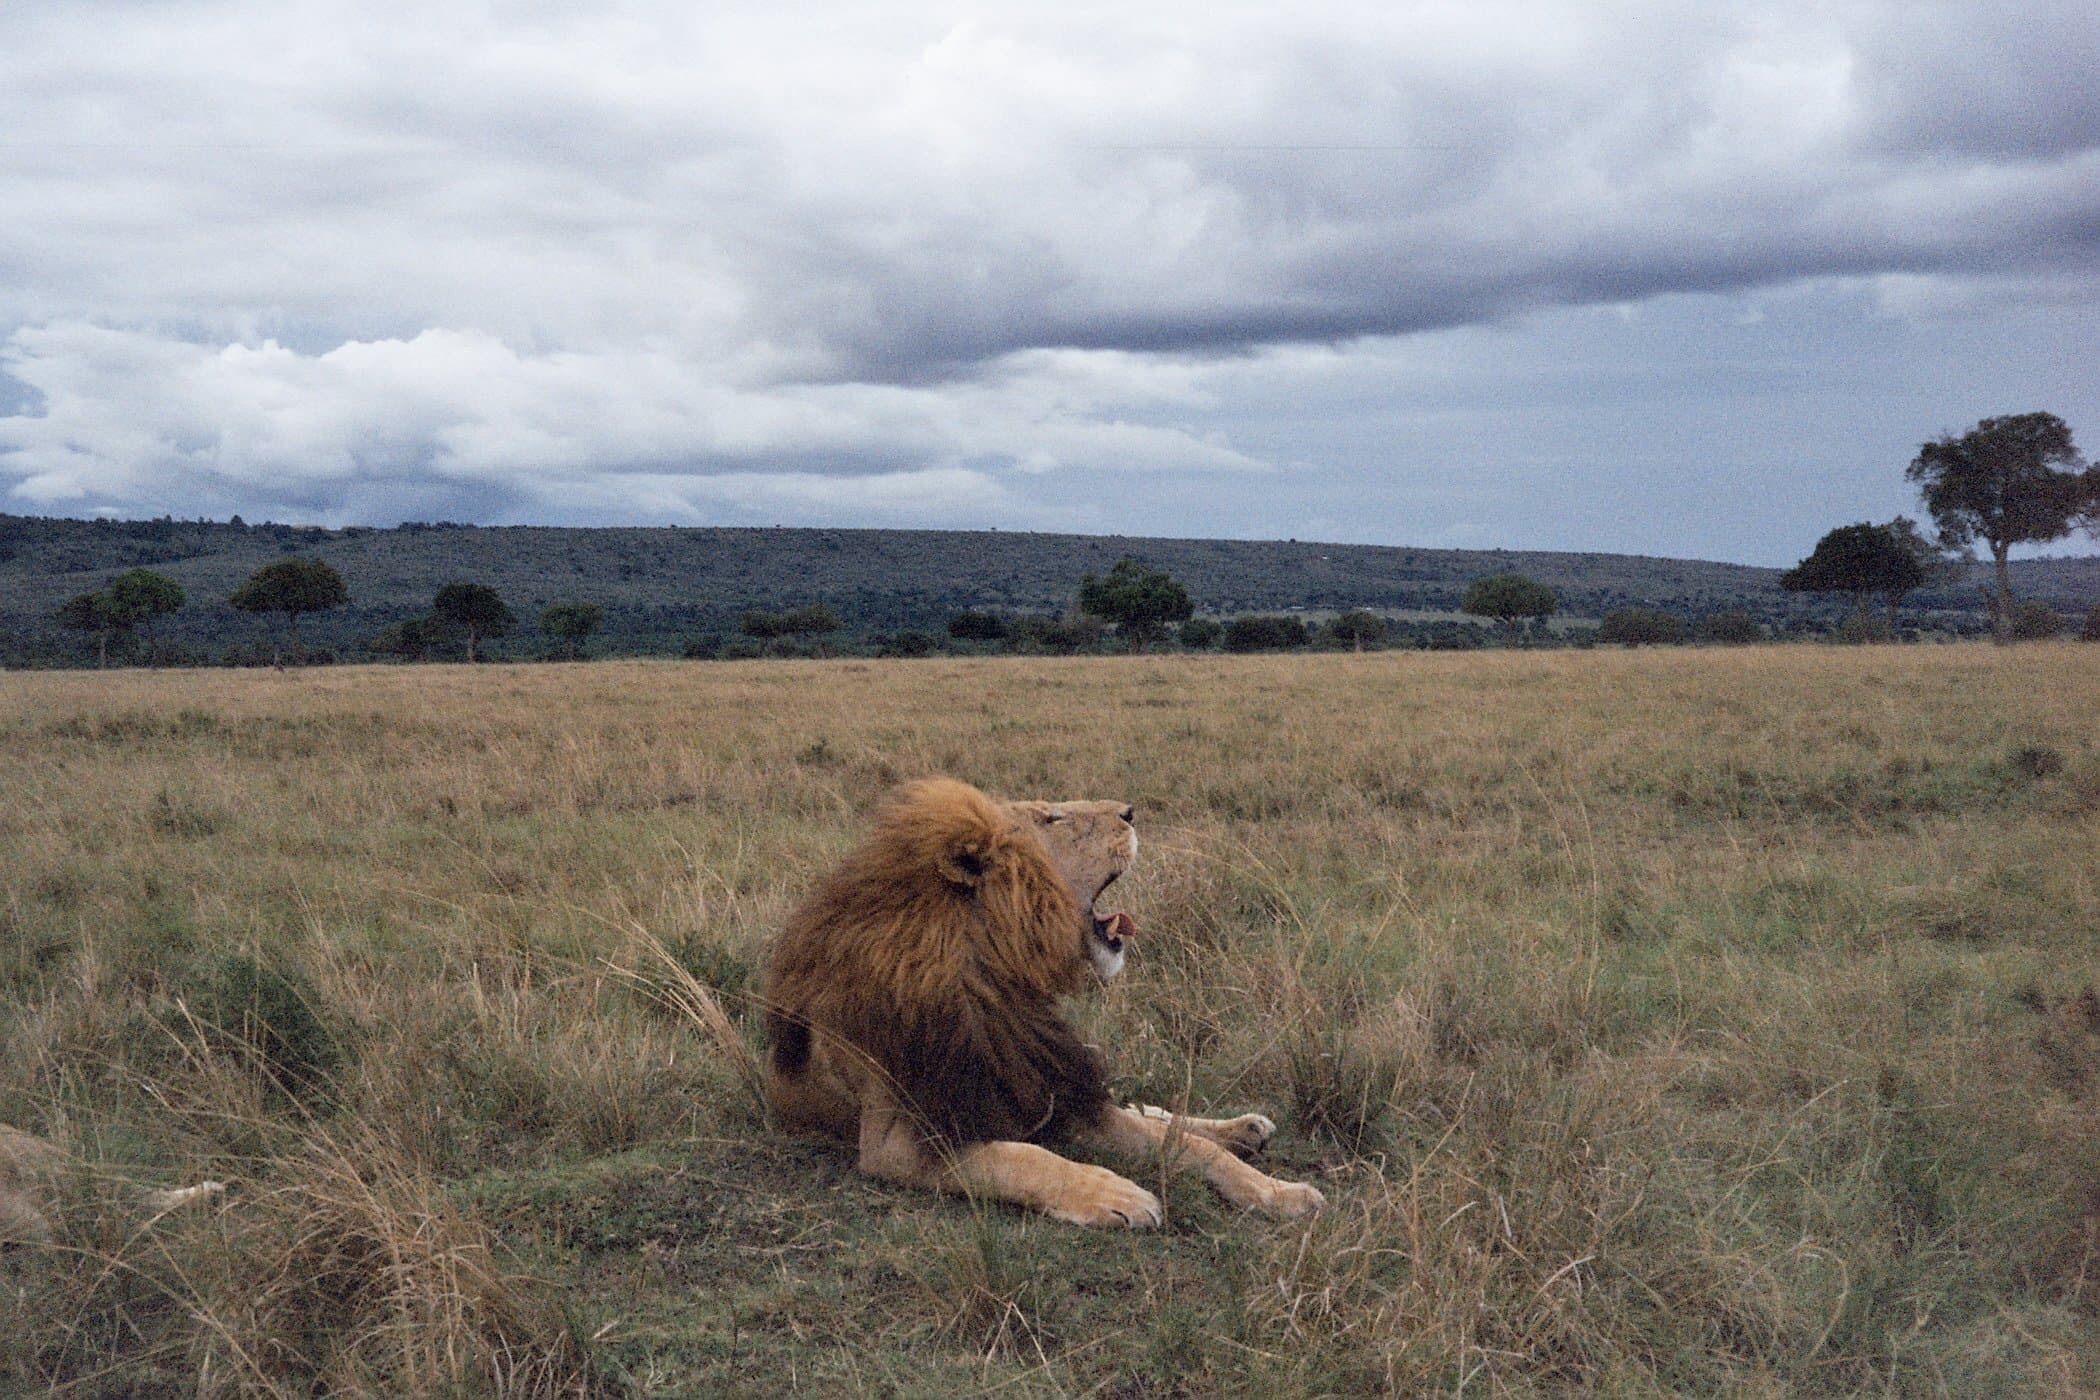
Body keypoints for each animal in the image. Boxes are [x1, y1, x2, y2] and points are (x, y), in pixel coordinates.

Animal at [762, 777, 1324, 1227]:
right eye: (1052, 818)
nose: (1131, 810)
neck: (995, 981)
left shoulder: (1054, 1085)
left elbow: (1187, 1144)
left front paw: (1280, 1193)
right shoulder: (898, 1142)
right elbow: (1024, 1157)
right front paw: (1115, 1192)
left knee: (1151, 1108)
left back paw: (1243, 1129)